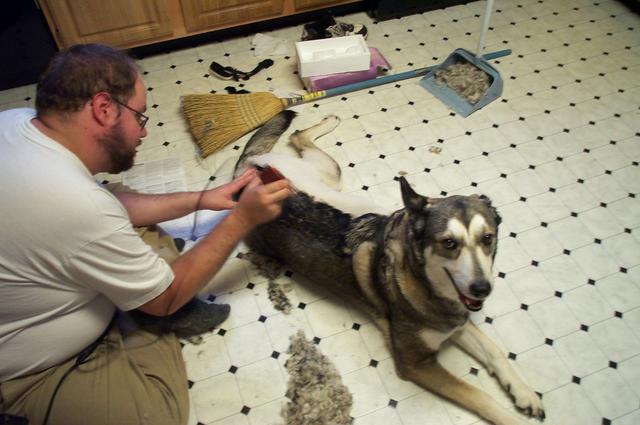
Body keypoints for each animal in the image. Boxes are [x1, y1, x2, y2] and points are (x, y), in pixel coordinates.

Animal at [233, 111, 545, 425]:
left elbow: (495, 351)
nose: (482, 289)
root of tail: (250, 171)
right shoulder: (416, 363)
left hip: (328, 175)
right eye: (448, 243)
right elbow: (479, 396)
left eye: (487, 238)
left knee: (299, 137)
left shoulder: (456, 322)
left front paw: (524, 392)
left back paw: (328, 121)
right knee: (297, 137)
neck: (423, 280)